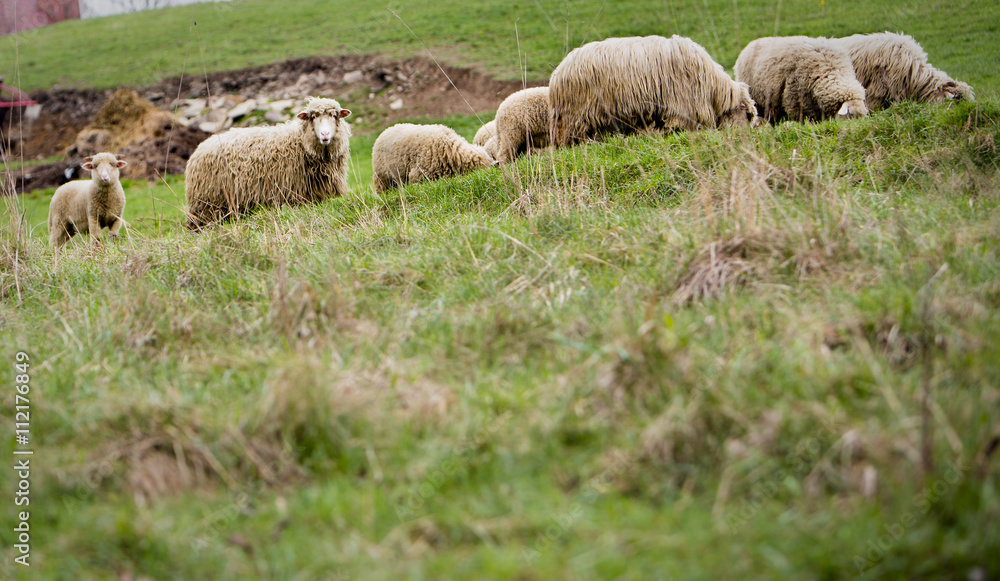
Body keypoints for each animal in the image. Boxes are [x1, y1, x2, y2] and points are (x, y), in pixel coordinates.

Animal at [183, 97, 351, 229]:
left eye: (334, 115)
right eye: (313, 117)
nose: (325, 134)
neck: (301, 142)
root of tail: (199, 148)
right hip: (206, 205)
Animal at [549, 35, 757, 147]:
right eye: (745, 112)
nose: (744, 138)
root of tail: (558, 72)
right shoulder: (682, 109)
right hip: (576, 115)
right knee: (569, 138)